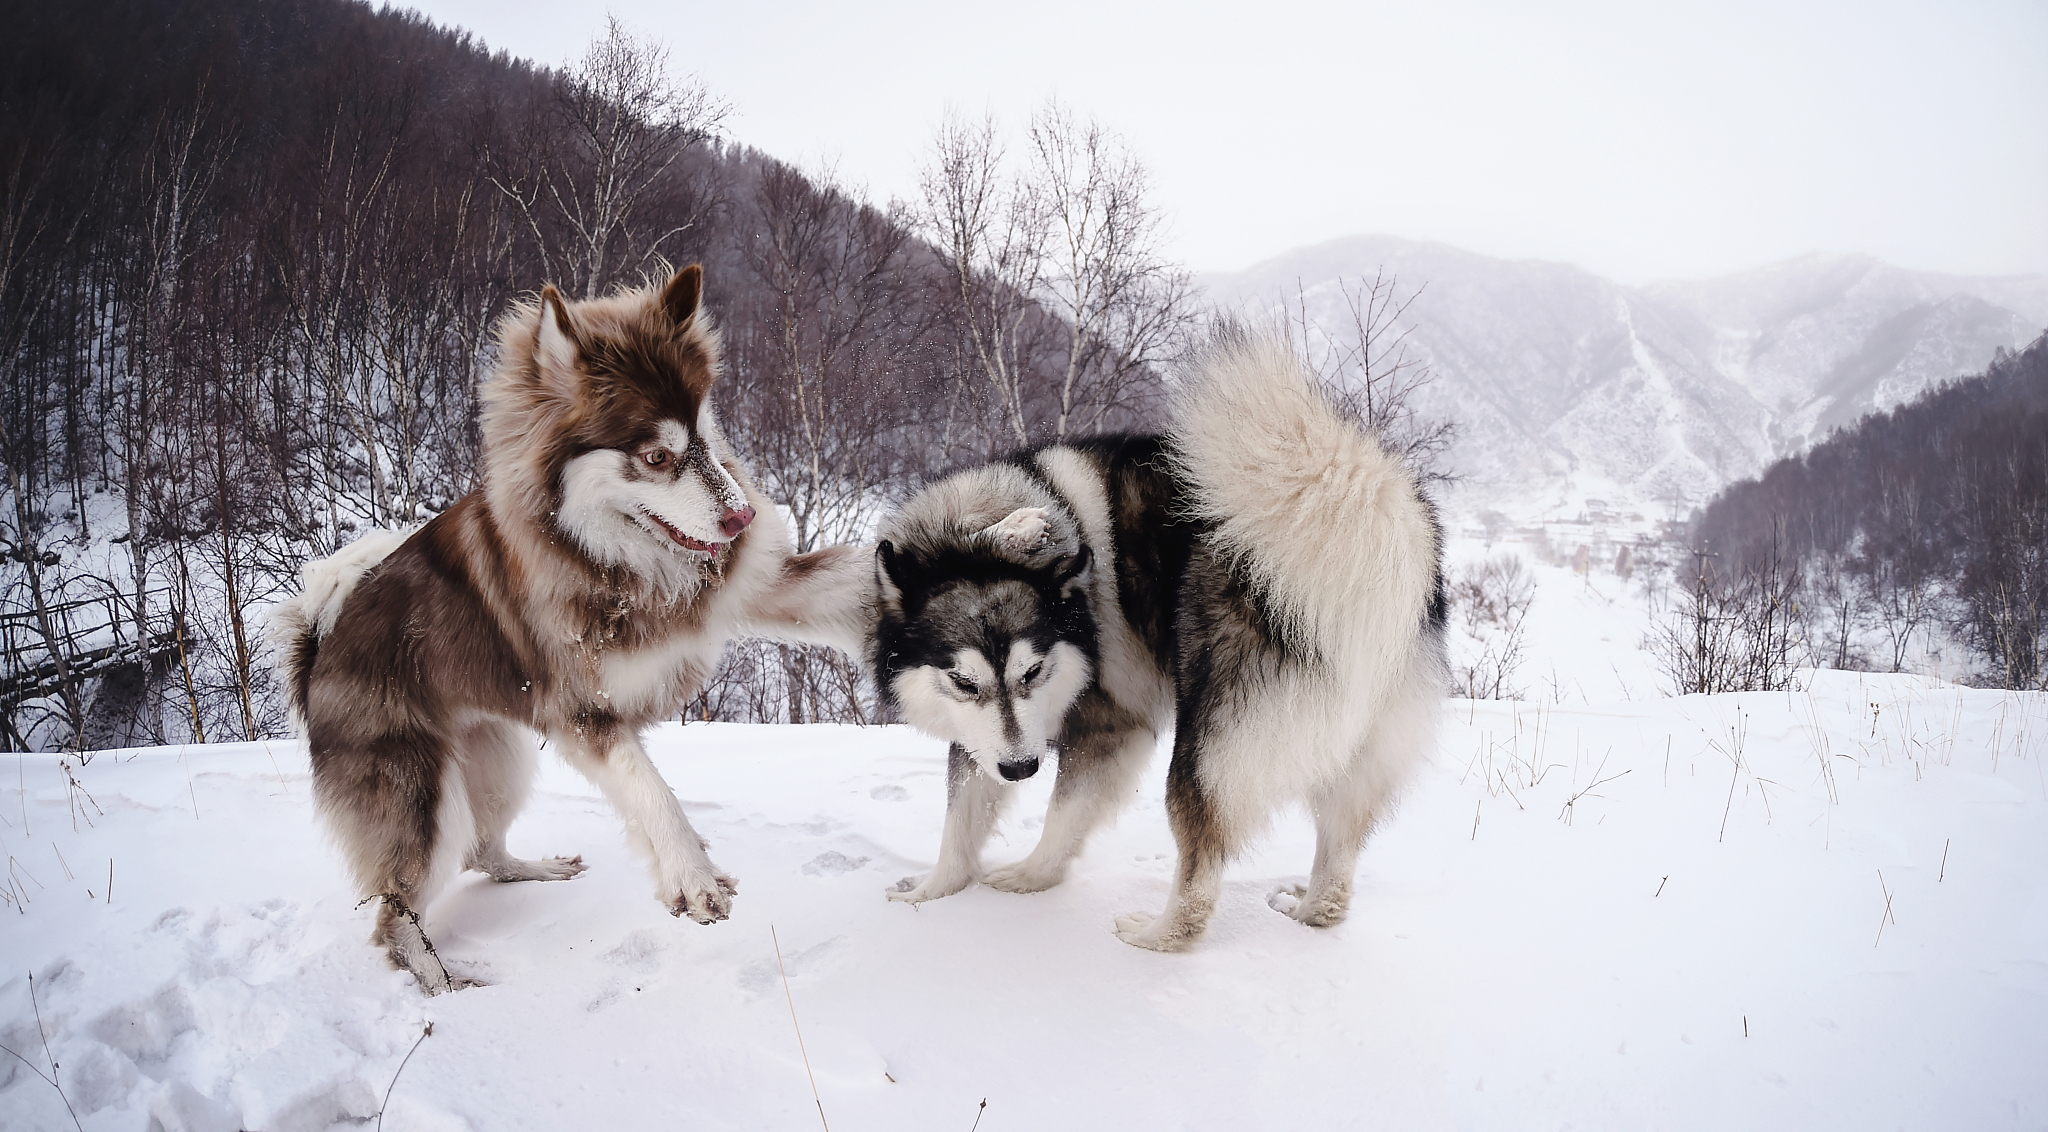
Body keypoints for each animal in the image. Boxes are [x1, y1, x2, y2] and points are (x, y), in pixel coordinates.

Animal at [270, 264, 864, 990]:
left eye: (705, 434)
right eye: (656, 457)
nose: (742, 519)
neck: (619, 560)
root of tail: (317, 650)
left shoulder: (753, 591)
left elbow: (849, 579)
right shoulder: (584, 712)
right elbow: (650, 788)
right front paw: (690, 874)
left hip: (496, 763)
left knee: (480, 852)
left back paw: (531, 869)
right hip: (423, 802)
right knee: (394, 915)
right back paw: (443, 985)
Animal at [872, 327, 1449, 945]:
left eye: (1034, 671)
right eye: (961, 681)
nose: (1023, 769)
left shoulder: (1107, 726)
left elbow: (1059, 814)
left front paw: (1030, 878)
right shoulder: (982, 735)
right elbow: (963, 814)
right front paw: (934, 891)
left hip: (1206, 752)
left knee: (1198, 868)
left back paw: (1156, 935)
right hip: (1352, 760)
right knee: (1336, 861)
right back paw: (1306, 911)